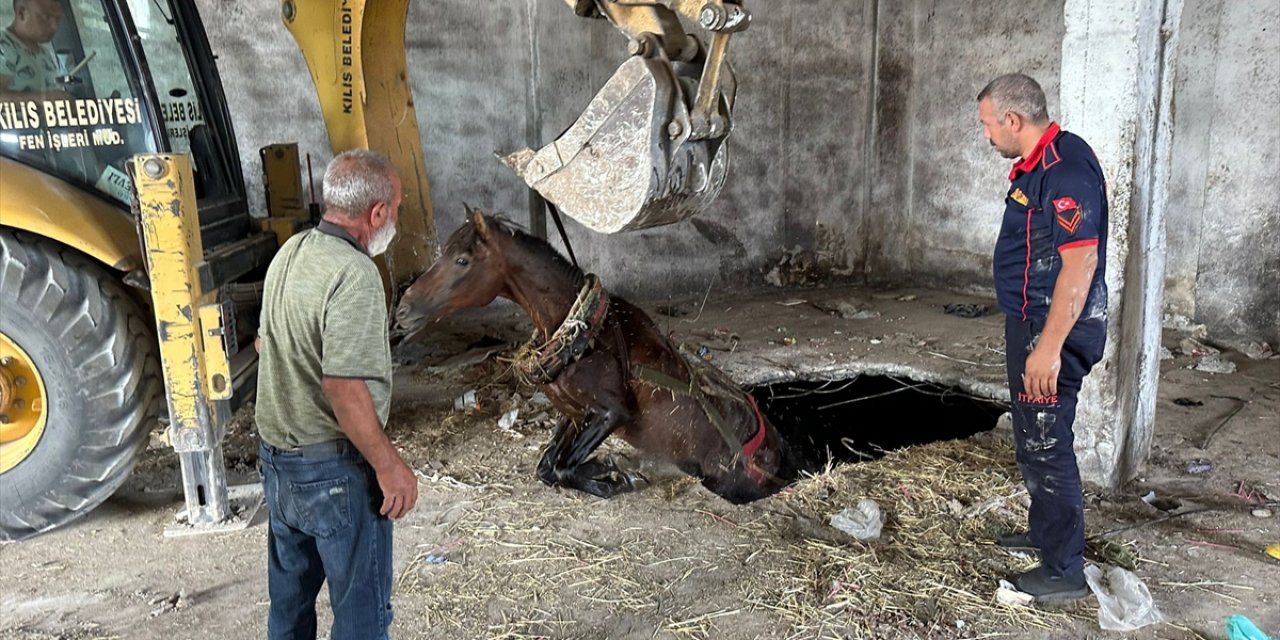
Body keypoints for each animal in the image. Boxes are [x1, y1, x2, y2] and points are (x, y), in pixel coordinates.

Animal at [399, 207, 793, 501]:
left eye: (463, 260)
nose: (402, 309)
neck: (583, 333)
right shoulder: (574, 412)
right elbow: (548, 466)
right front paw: (606, 471)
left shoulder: (612, 412)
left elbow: (562, 467)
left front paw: (612, 478)